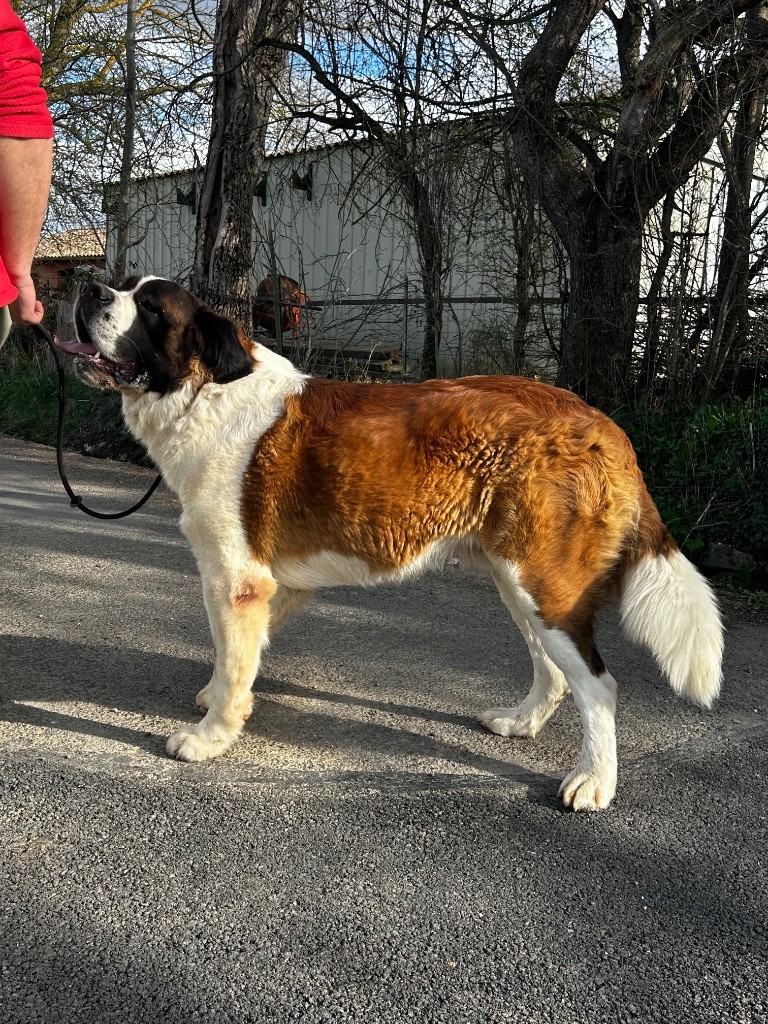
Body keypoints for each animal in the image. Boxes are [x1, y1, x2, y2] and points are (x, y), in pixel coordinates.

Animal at [58, 276, 720, 811]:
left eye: (149, 308)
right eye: (123, 287)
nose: (89, 287)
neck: (205, 391)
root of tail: (599, 420)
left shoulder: (236, 579)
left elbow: (236, 654)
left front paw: (209, 738)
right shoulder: (273, 582)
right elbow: (237, 656)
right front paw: (222, 698)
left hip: (544, 585)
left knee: (600, 687)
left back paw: (594, 782)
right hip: (520, 581)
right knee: (555, 671)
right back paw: (520, 722)